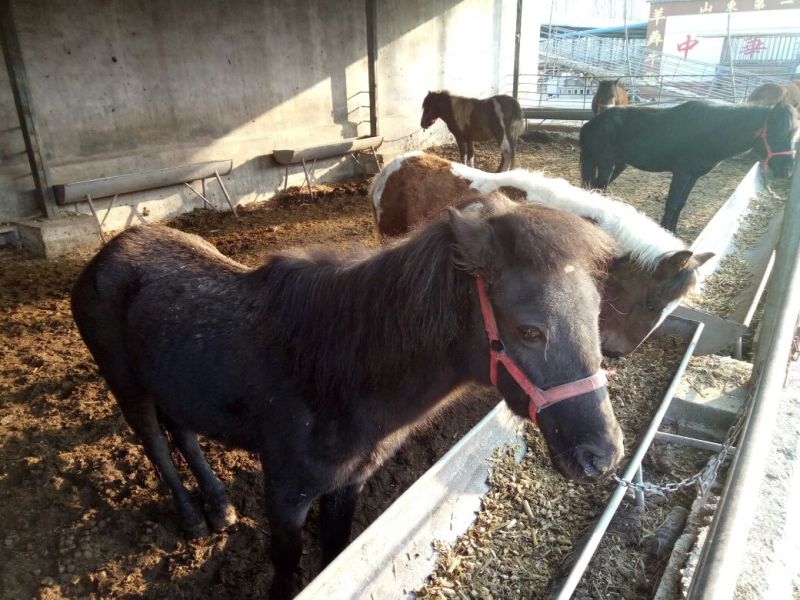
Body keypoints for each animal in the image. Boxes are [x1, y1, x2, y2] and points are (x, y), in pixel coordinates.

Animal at [71, 205, 624, 599]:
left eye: (597, 310)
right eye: (530, 330)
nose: (602, 453)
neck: (335, 370)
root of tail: (105, 255)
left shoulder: (347, 485)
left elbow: (333, 554)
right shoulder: (285, 492)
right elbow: (287, 565)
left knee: (183, 432)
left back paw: (221, 507)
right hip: (126, 383)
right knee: (156, 443)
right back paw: (190, 517)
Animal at [580, 100, 799, 233]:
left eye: (794, 133)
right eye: (776, 133)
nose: (787, 170)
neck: (709, 132)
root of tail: (591, 124)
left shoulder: (693, 176)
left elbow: (680, 204)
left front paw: (673, 231)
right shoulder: (681, 173)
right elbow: (671, 204)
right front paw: (664, 232)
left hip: (616, 164)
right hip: (606, 165)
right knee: (598, 188)